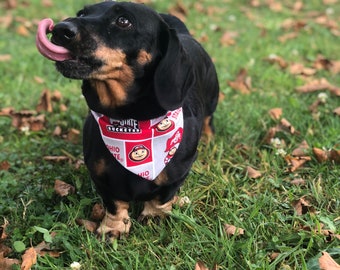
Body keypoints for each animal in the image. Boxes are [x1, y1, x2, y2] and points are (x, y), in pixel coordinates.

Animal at [35, 1, 219, 237]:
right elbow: (115, 203)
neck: (130, 121)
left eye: (123, 21)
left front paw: (154, 216)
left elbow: (162, 196)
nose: (59, 29)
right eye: (82, 13)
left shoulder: (178, 173)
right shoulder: (102, 176)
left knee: (209, 121)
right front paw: (113, 227)